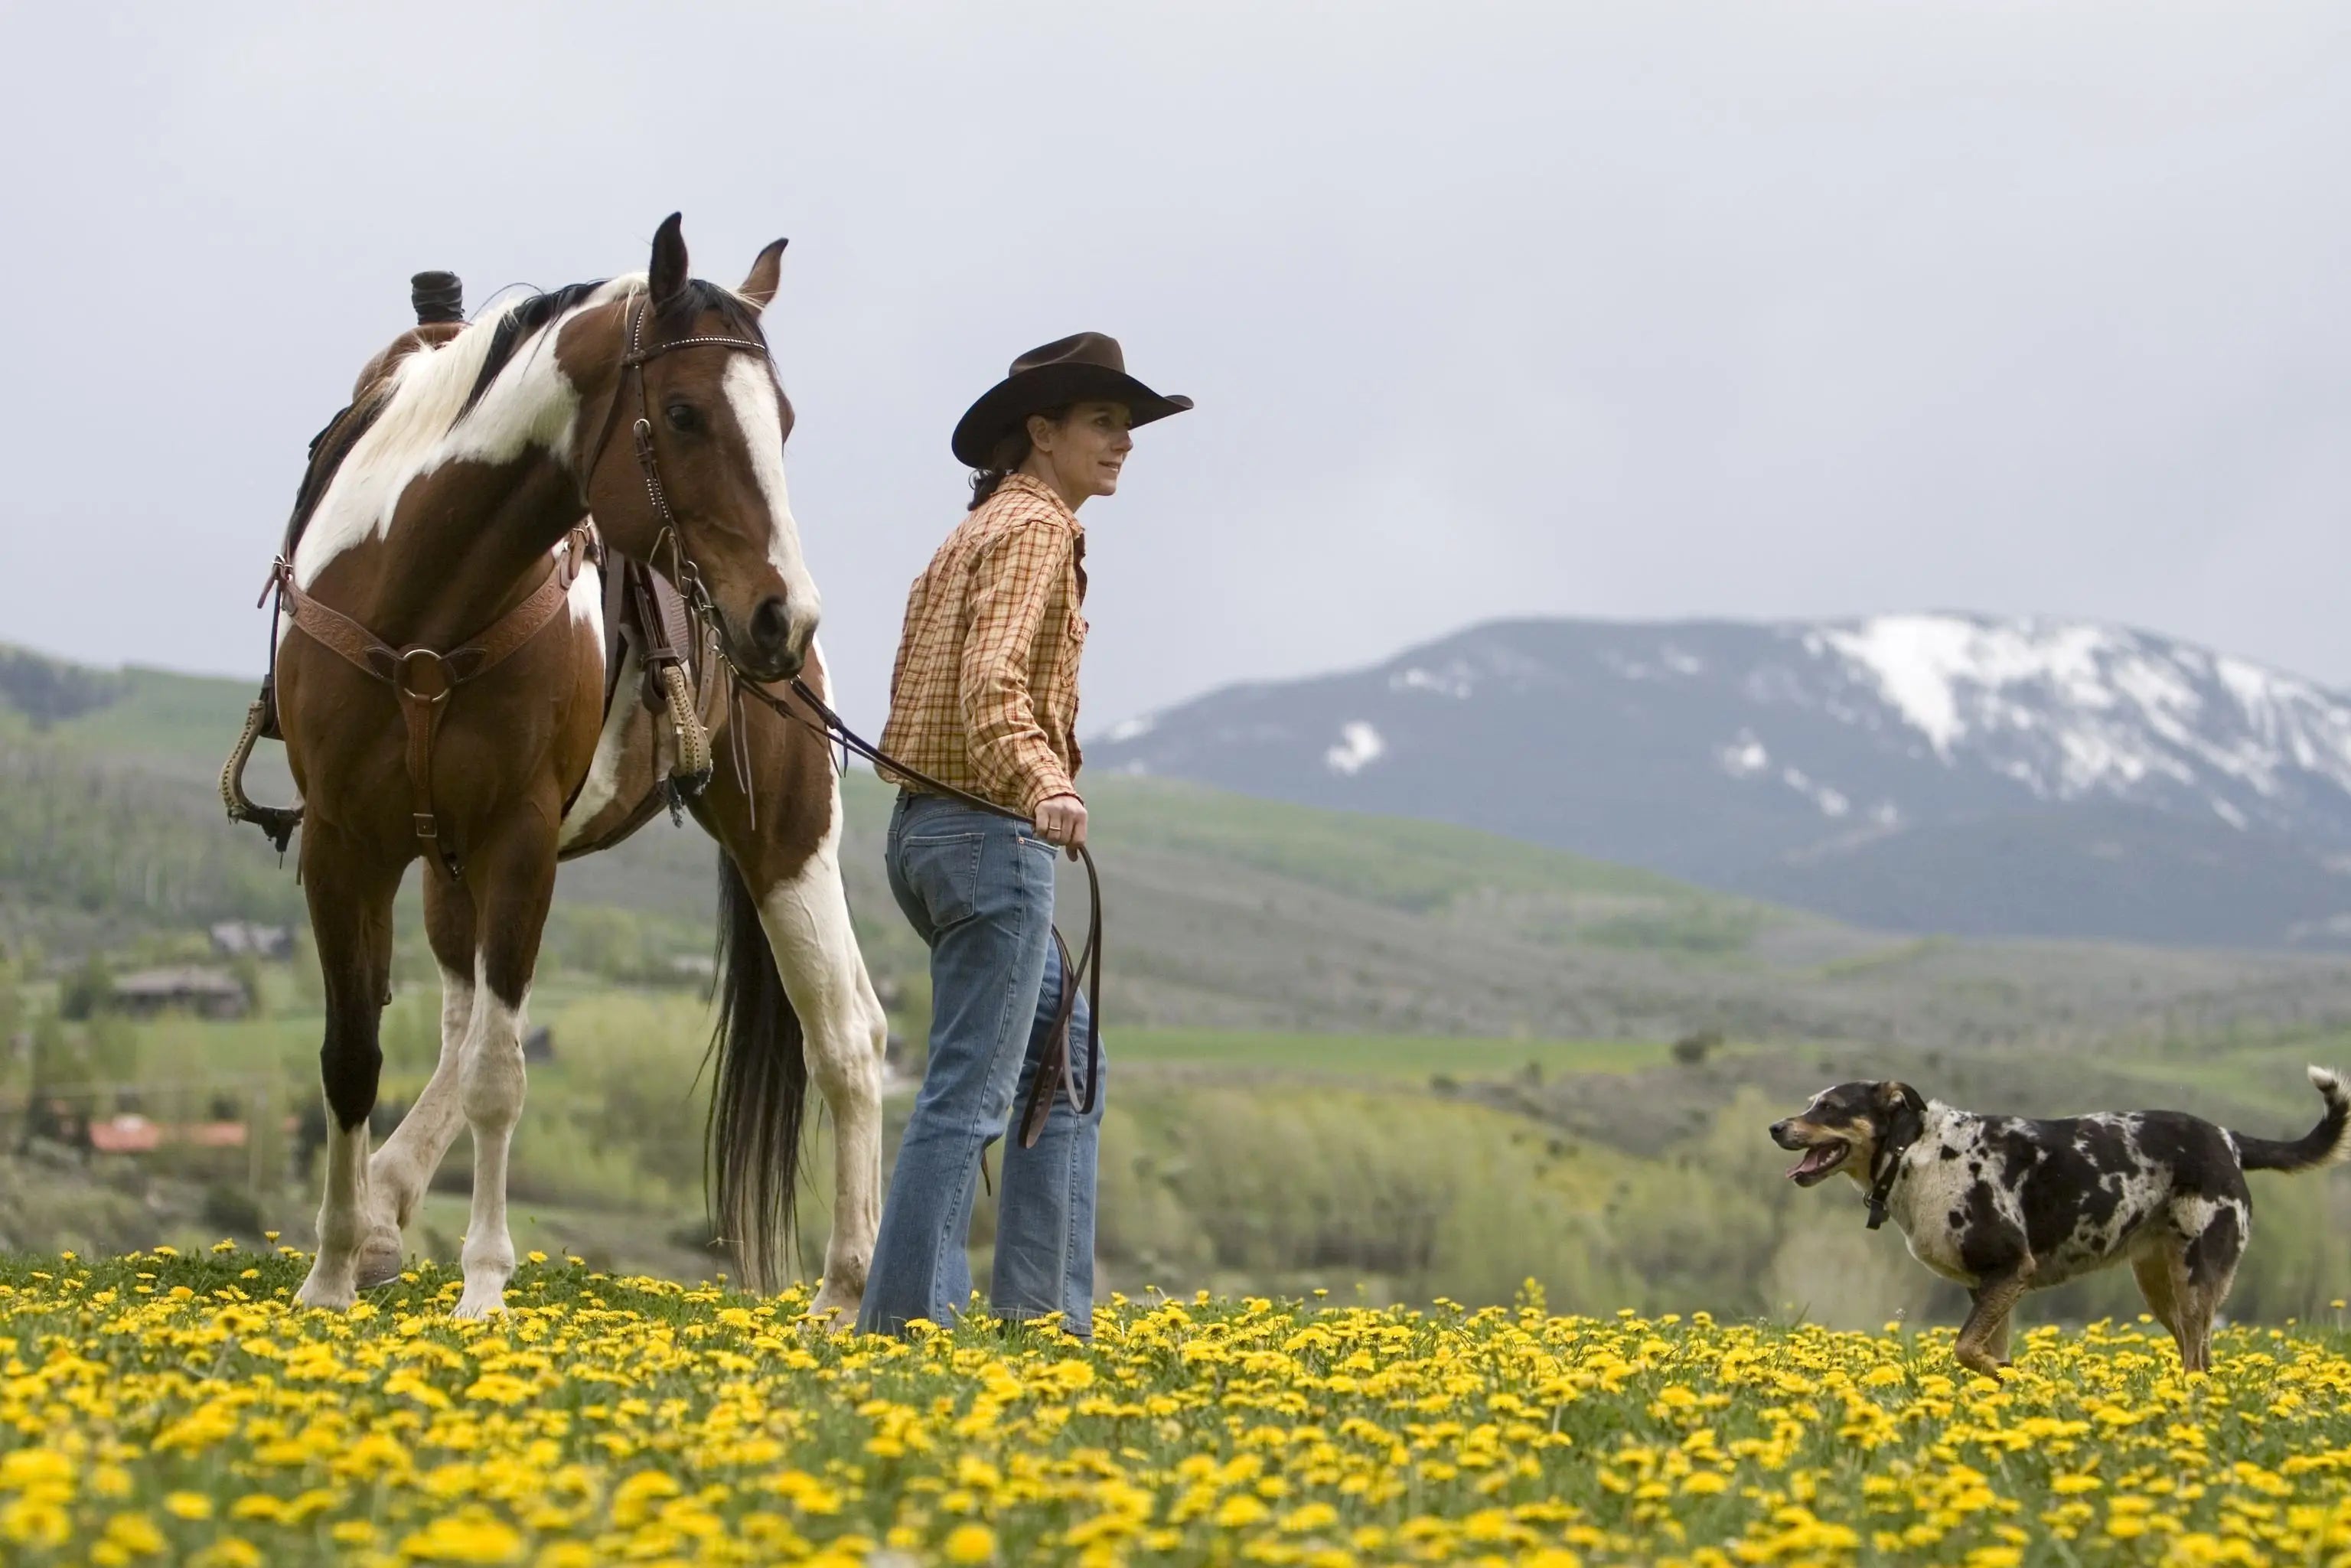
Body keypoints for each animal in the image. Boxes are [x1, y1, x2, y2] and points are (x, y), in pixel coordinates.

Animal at [272, 217, 889, 1325]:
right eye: (683, 413)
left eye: (781, 420)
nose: (784, 618)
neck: (422, 601)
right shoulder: (344, 844)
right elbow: (353, 1056)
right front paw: (332, 1271)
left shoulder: (518, 846)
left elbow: (500, 1074)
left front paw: (482, 1287)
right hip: (446, 870)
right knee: (456, 1026)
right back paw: (383, 1208)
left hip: (787, 839)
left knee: (847, 1035)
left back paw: (845, 1287)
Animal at [1768, 1067, 2341, 1373]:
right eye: (1810, 1104)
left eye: (1829, 1107)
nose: (1775, 1127)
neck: (1915, 1153)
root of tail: (2228, 1138)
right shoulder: (1987, 1288)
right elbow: (1980, 1351)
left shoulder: (2010, 1269)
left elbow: (1965, 1348)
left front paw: (2008, 1375)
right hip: (2161, 1287)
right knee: (2197, 1356)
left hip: (2197, 1280)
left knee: (2199, 1362)